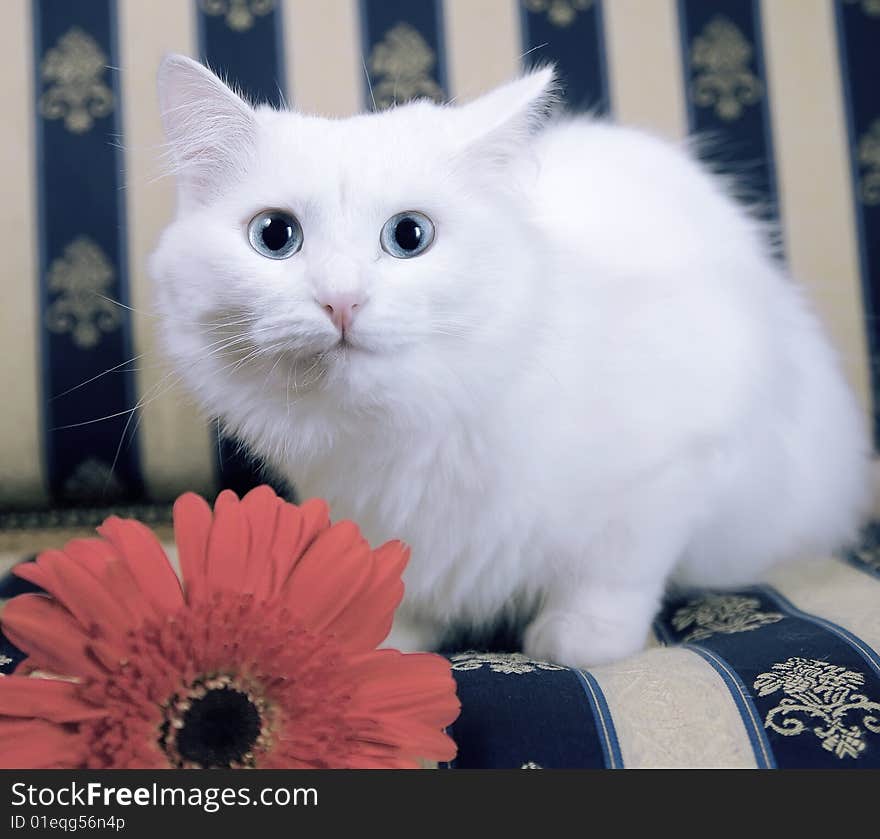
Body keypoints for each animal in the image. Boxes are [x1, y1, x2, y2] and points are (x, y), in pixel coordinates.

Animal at [148, 54, 868, 668]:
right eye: (276, 236)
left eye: (409, 236)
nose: (341, 300)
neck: (411, 432)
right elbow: (402, 584)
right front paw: (395, 638)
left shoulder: (672, 470)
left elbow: (614, 573)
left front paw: (580, 639)